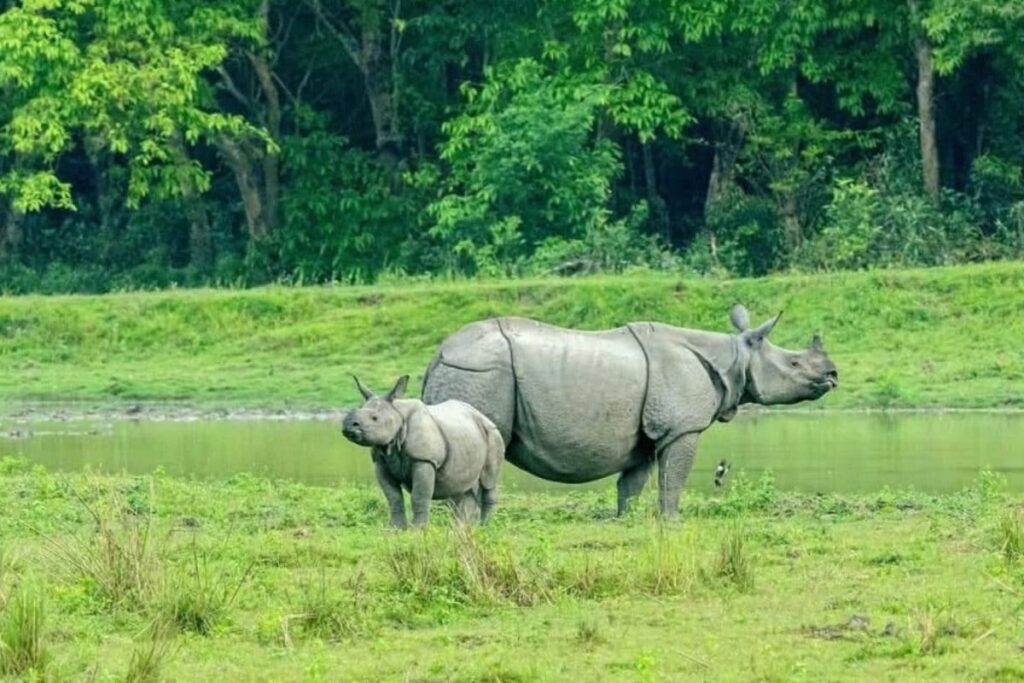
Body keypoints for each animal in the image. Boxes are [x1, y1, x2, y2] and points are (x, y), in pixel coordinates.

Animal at [341, 375, 504, 527]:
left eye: (374, 418)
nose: (348, 425)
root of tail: (484, 417)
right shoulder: (381, 462)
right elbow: (393, 497)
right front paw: (395, 529)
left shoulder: (424, 459)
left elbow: (419, 496)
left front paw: (417, 530)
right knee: (463, 489)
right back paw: (461, 528)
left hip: (493, 434)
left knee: (488, 481)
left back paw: (485, 527)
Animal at [421, 305, 837, 519]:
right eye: (796, 364)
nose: (833, 374)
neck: (734, 357)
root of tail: (437, 355)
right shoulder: (681, 428)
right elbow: (673, 479)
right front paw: (672, 523)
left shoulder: (647, 435)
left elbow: (632, 485)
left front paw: (626, 521)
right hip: (480, 373)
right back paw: (469, 524)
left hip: (469, 373)